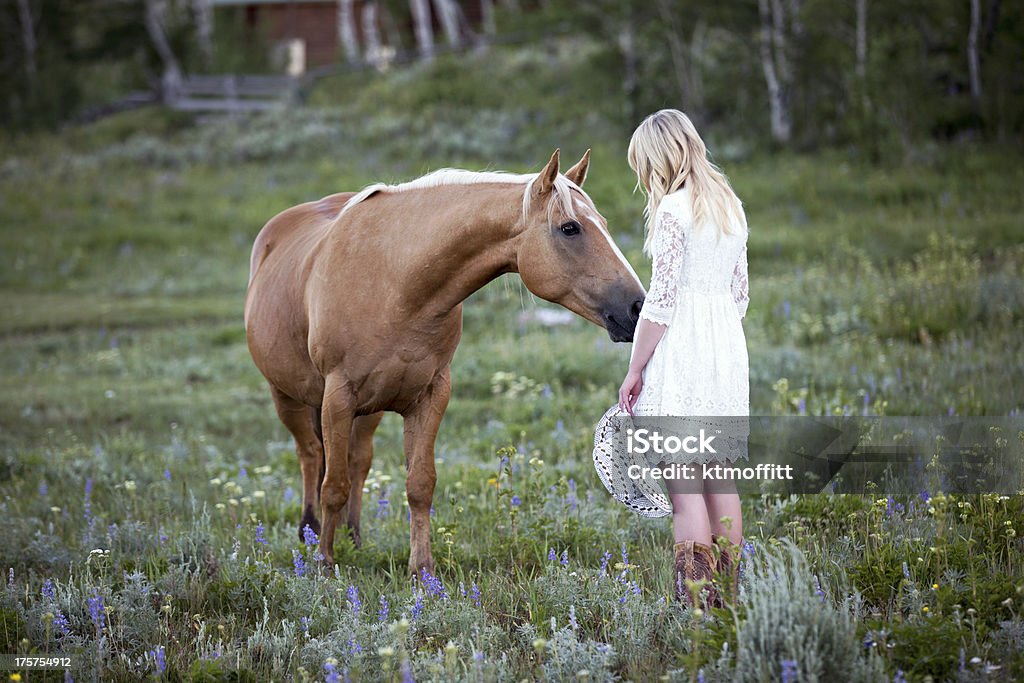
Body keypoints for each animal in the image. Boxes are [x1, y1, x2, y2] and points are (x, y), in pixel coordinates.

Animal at [243, 149, 643, 573]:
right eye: (570, 228)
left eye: (602, 224)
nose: (638, 307)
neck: (396, 285)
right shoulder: (337, 397)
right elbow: (332, 486)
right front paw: (324, 565)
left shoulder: (431, 395)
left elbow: (419, 484)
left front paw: (422, 571)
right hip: (287, 396)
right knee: (310, 455)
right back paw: (310, 532)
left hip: (368, 411)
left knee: (357, 461)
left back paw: (354, 537)